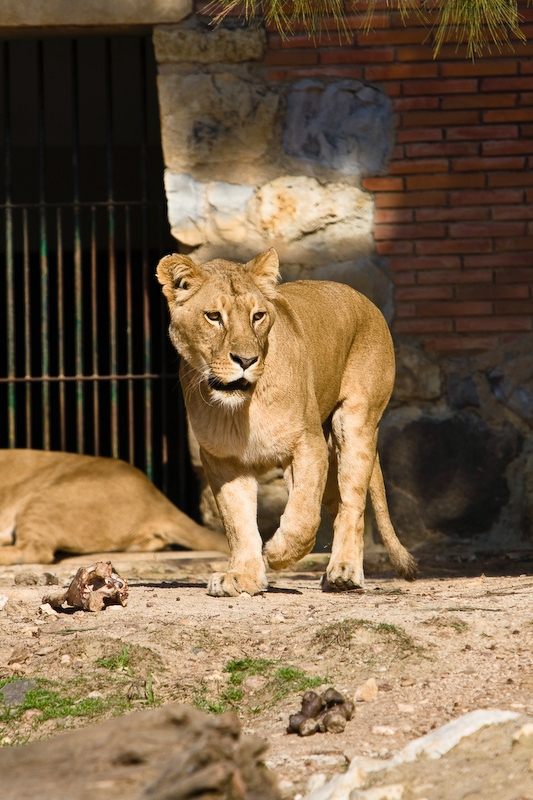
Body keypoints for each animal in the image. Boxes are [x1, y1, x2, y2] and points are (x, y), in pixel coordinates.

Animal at [157, 248, 417, 597]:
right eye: (213, 316)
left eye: (258, 316)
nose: (246, 360)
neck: (241, 410)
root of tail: (364, 300)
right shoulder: (223, 460)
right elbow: (238, 522)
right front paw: (242, 577)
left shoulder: (308, 445)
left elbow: (303, 519)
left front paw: (277, 553)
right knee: (338, 506)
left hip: (354, 425)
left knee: (353, 505)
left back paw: (344, 573)